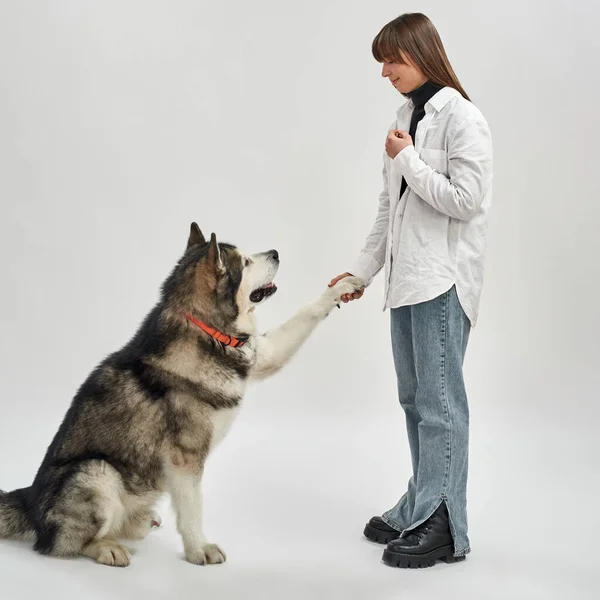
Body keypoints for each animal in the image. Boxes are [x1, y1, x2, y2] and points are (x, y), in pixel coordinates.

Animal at [0, 225, 366, 568]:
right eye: (246, 262)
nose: (275, 252)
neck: (208, 330)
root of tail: (28, 500)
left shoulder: (265, 354)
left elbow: (305, 314)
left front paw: (341, 287)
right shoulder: (186, 458)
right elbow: (193, 508)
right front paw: (198, 549)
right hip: (96, 472)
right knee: (60, 544)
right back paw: (106, 548)